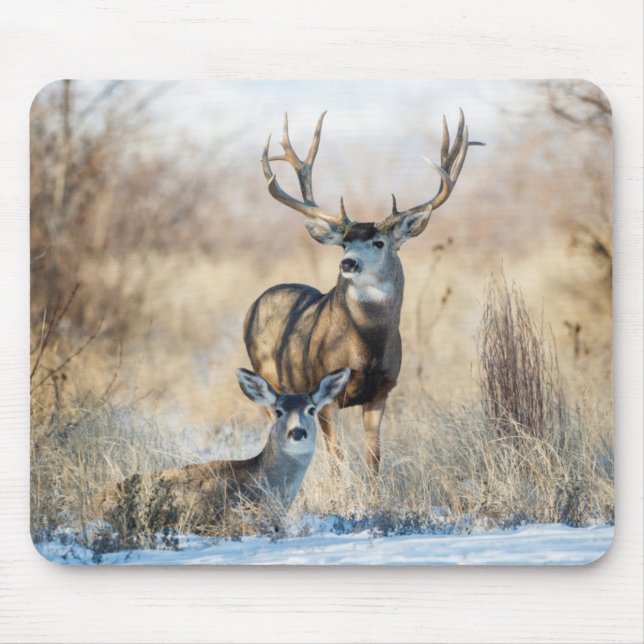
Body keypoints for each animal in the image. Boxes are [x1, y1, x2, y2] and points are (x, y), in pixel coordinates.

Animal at [244, 110, 480, 475]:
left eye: (379, 242)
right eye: (344, 242)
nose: (348, 263)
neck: (366, 346)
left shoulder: (382, 391)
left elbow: (374, 459)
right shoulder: (325, 394)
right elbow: (338, 459)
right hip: (270, 379)